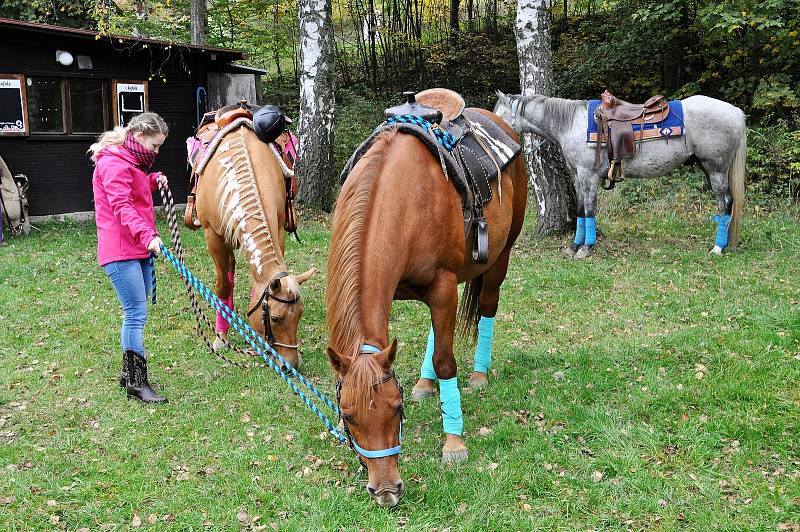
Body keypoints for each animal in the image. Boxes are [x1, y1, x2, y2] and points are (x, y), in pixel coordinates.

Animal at [194, 117, 316, 368]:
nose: (290, 364)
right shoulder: (213, 236)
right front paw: (220, 337)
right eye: (275, 318)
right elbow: (223, 286)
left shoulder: (278, 229)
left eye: (300, 314)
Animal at [326, 108, 532, 508]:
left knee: (487, 306)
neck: (403, 199)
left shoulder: (443, 287)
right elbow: (436, 342)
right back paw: (424, 382)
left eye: (397, 409)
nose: (386, 490)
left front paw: (454, 441)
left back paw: (479, 375)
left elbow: (445, 360)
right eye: (348, 417)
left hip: (499, 258)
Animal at [490, 91, 748, 258]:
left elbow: (589, 209)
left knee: (725, 204)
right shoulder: (578, 176)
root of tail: (736, 112)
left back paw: (717, 247)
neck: (571, 124)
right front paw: (574, 246)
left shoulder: (589, 175)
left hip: (716, 169)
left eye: (495, 115)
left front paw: (586, 248)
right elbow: (581, 209)